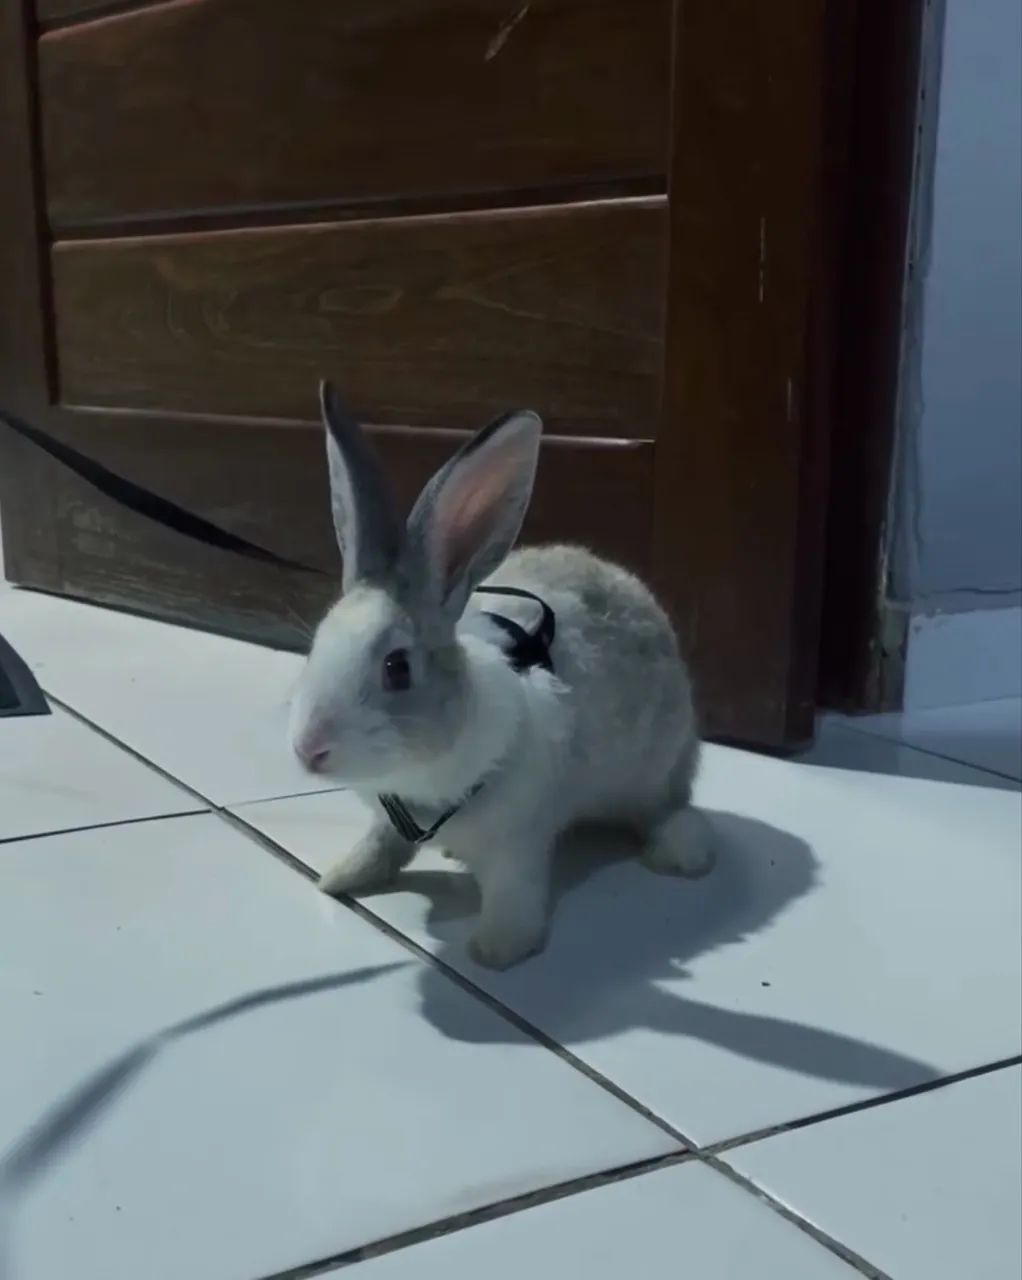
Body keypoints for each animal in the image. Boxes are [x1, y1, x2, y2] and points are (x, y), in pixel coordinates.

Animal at [288, 381, 714, 969]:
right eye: (316, 646)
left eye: (398, 668)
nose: (309, 750)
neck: (422, 778)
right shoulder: (386, 823)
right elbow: (380, 847)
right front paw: (339, 878)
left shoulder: (519, 839)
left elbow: (515, 892)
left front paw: (498, 950)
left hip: (652, 770)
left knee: (665, 808)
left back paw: (684, 850)